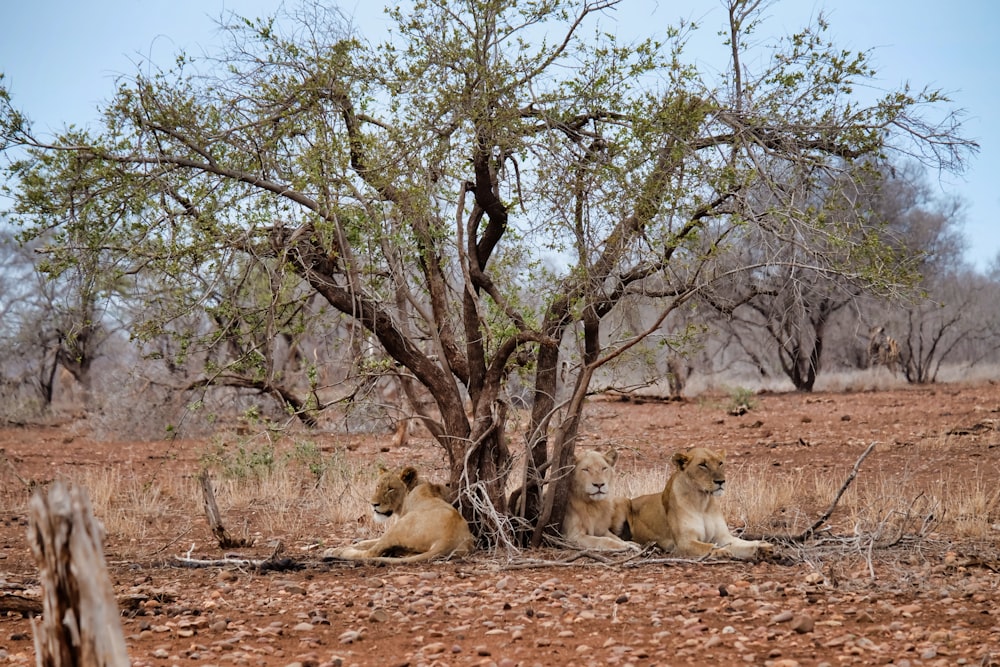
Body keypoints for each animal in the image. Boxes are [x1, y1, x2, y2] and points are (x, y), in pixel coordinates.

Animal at [322, 468, 474, 568]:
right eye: (378, 486)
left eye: (390, 489)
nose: (373, 504)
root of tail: (447, 540)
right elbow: (364, 542)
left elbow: (367, 545)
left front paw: (335, 549)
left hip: (399, 527)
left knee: (370, 553)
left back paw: (339, 552)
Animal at [624, 448, 772, 560]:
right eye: (703, 465)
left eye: (720, 463)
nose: (721, 481)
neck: (703, 502)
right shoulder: (684, 542)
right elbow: (706, 546)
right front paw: (719, 551)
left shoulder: (723, 537)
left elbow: (741, 544)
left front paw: (762, 547)